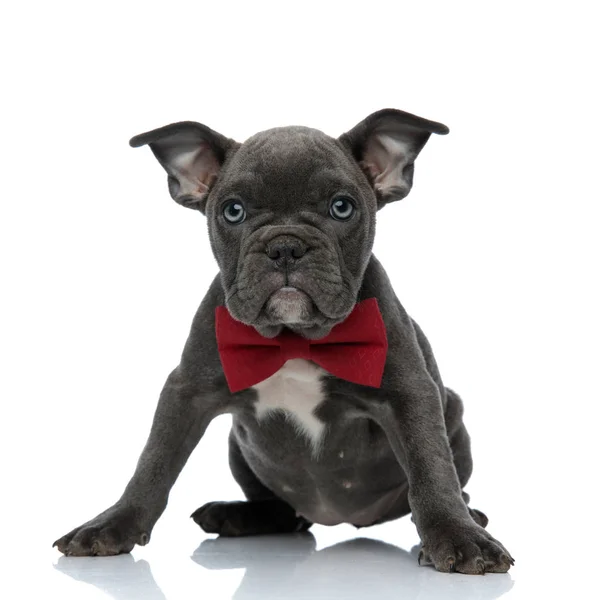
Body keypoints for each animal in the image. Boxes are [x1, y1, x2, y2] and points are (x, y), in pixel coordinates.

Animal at [54, 110, 510, 576]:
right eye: (232, 211)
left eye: (342, 207)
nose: (285, 246)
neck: (294, 339)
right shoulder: (186, 393)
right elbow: (154, 463)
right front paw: (112, 525)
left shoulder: (409, 393)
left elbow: (431, 466)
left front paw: (458, 534)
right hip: (239, 448)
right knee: (285, 513)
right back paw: (234, 515)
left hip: (453, 415)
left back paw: (472, 517)